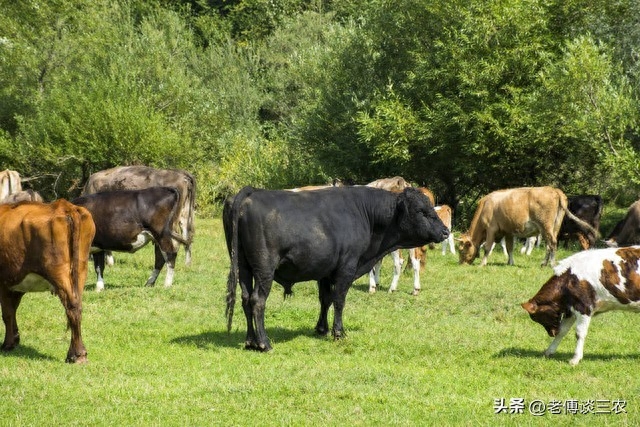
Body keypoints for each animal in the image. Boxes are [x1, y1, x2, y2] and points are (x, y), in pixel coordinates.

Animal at [0, 199, 96, 362]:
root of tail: (64, 206)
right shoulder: (15, 284)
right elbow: (13, 310)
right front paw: (15, 338)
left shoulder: (3, 282)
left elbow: (7, 314)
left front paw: (8, 344)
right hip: (80, 269)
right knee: (78, 305)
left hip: (59, 271)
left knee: (72, 306)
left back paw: (76, 354)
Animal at [225, 186, 450, 352]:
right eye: (421, 211)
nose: (446, 231)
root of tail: (252, 191)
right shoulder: (346, 267)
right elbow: (339, 300)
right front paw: (339, 333)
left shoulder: (325, 270)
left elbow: (325, 299)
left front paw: (321, 329)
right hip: (264, 268)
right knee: (257, 300)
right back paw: (264, 343)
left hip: (243, 266)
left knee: (246, 299)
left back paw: (250, 341)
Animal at [458, 187, 596, 268]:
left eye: (461, 250)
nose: (461, 264)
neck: (485, 205)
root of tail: (553, 189)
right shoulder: (508, 231)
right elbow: (510, 248)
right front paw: (510, 263)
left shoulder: (491, 229)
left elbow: (487, 248)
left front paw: (482, 264)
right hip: (553, 227)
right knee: (549, 245)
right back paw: (544, 263)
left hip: (546, 226)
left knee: (552, 243)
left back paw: (551, 264)